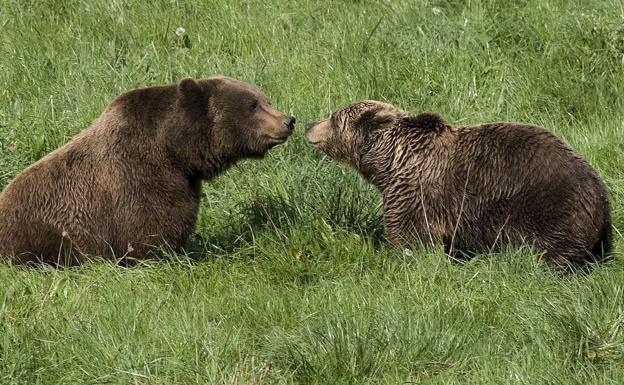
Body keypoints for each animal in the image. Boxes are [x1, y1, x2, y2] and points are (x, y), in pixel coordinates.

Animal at [0, 76, 298, 266]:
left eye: (265, 99)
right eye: (252, 105)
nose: (288, 120)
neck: (173, 150)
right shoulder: (137, 179)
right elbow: (150, 231)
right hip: (40, 235)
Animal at [304, 101, 612, 270]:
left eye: (334, 117)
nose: (308, 124)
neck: (390, 164)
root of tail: (601, 193)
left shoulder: (416, 194)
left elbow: (410, 237)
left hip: (549, 209)